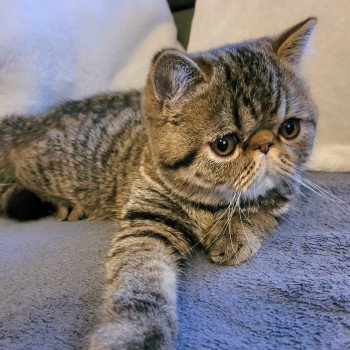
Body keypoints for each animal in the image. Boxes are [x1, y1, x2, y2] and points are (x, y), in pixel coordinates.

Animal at [0, 17, 318, 350]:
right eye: (224, 145)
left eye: (290, 128)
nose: (266, 144)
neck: (209, 202)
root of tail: (33, 121)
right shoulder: (148, 221)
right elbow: (142, 279)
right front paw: (138, 334)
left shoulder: (286, 189)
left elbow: (264, 207)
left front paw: (235, 230)